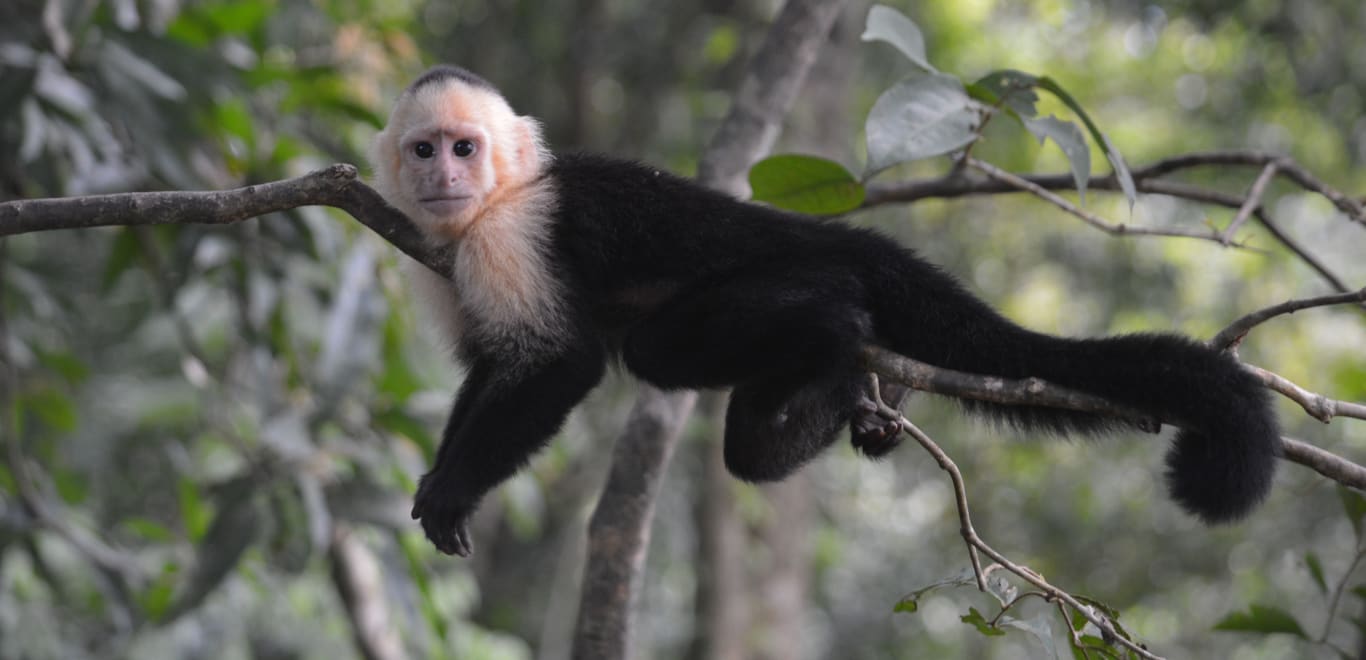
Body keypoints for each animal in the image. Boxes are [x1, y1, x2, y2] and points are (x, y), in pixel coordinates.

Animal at [368, 65, 1273, 557]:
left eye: (466, 148)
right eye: (424, 149)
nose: (443, 176)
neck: (494, 203)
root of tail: (833, 234)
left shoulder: (510, 234)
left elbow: (563, 362)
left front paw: (456, 490)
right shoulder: (442, 252)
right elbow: (491, 364)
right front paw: (437, 475)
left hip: (791, 266)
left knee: (677, 345)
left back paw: (839, 341)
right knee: (741, 439)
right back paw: (856, 400)